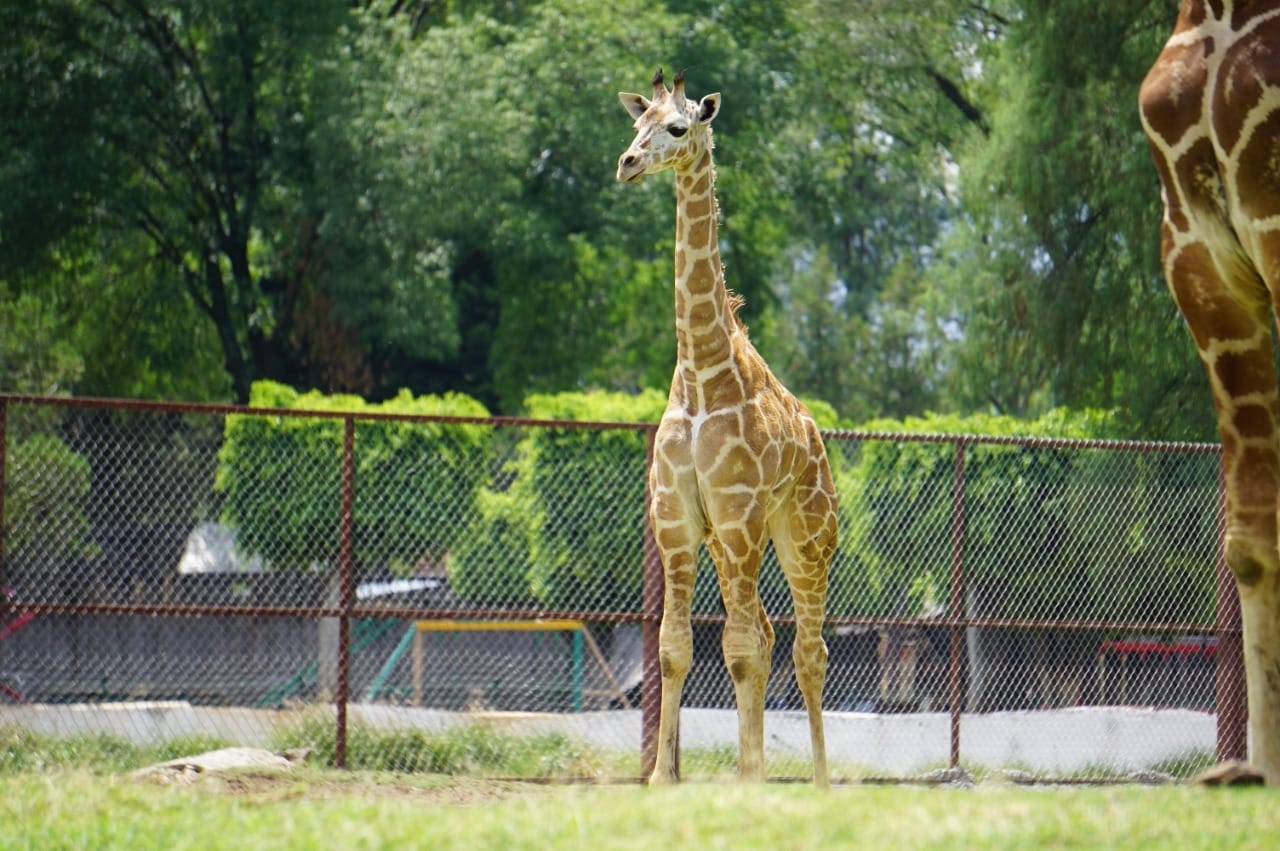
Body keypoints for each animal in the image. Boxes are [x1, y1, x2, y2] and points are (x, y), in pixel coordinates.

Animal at [616, 69, 838, 787]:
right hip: (730, 541)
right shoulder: (679, 517)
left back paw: (819, 783)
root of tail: (821, 449)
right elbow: (673, 647)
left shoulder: (739, 514)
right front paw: (663, 777)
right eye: (635, 125)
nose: (627, 164)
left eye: (677, 128)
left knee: (806, 649)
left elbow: (736, 649)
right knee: (767, 634)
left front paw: (748, 780)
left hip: (805, 538)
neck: (700, 371)